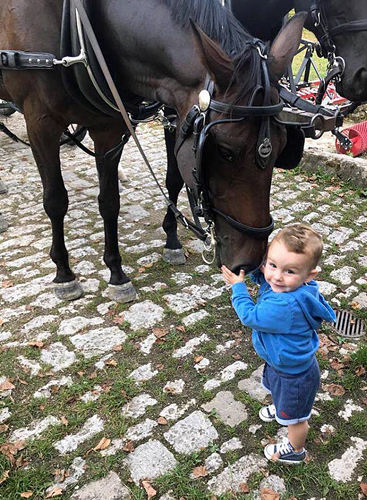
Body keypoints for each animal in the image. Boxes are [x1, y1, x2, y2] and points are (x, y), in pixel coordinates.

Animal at [0, 0, 304, 300]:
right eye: (225, 150)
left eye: (283, 148)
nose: (250, 260)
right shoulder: (40, 123)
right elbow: (55, 200)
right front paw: (64, 272)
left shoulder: (109, 127)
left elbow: (111, 201)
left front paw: (116, 272)